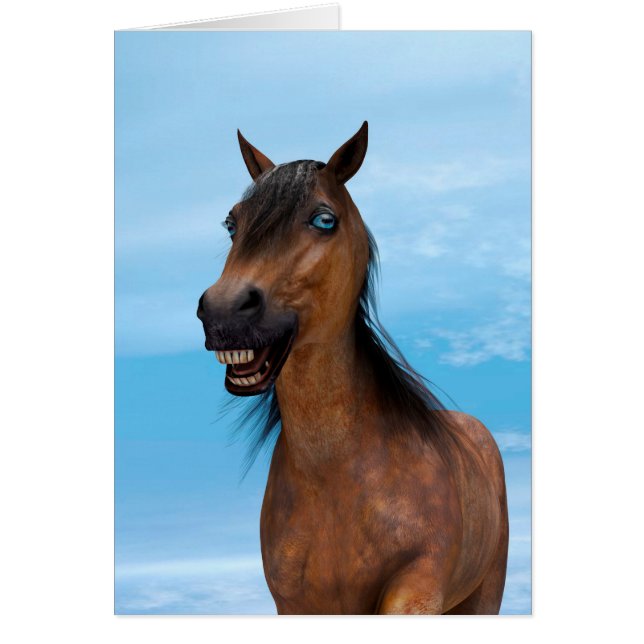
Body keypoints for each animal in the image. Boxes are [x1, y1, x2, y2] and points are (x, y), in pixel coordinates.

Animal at [197, 122, 508, 614]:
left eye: (324, 220)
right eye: (231, 223)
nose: (224, 312)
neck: (334, 475)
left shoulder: (415, 590)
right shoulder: (295, 605)